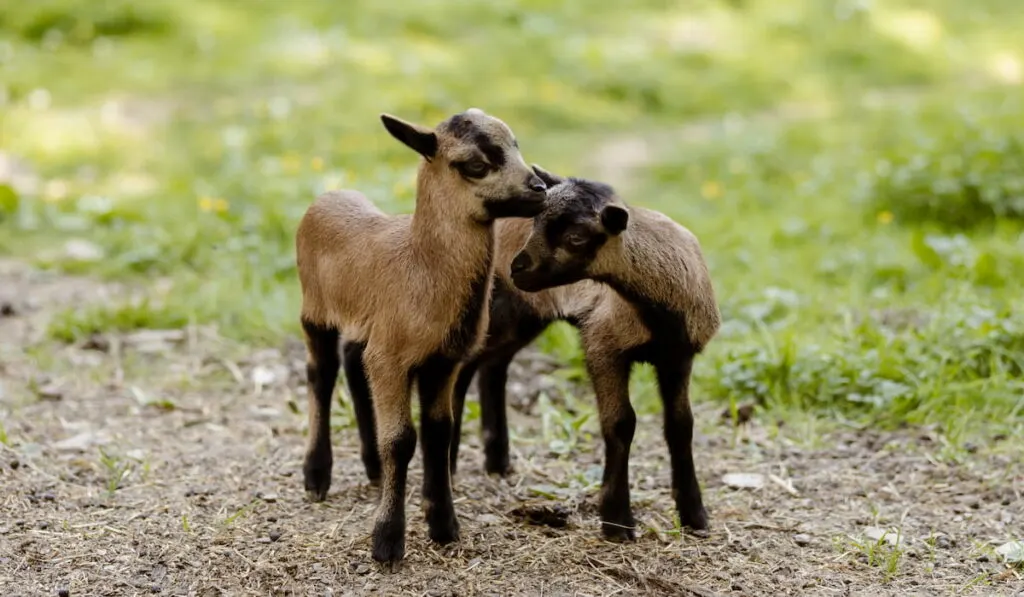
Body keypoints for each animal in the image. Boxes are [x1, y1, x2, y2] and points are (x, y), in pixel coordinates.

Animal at [296, 109, 552, 561]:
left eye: (516, 145)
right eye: (475, 165)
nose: (539, 188)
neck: (420, 264)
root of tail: (329, 195)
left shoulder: (442, 361)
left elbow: (439, 431)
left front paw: (444, 525)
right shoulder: (393, 359)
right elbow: (401, 440)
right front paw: (387, 542)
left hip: (367, 327)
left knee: (353, 363)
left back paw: (372, 469)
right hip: (316, 312)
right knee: (321, 375)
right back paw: (316, 476)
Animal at [448, 166, 720, 536]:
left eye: (576, 238)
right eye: (536, 223)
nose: (518, 267)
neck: (657, 312)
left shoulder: (678, 357)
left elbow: (681, 425)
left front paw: (694, 515)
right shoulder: (604, 345)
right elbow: (620, 423)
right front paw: (617, 522)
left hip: (526, 314)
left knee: (493, 366)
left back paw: (498, 462)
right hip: (499, 304)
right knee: (464, 366)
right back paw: (449, 464)